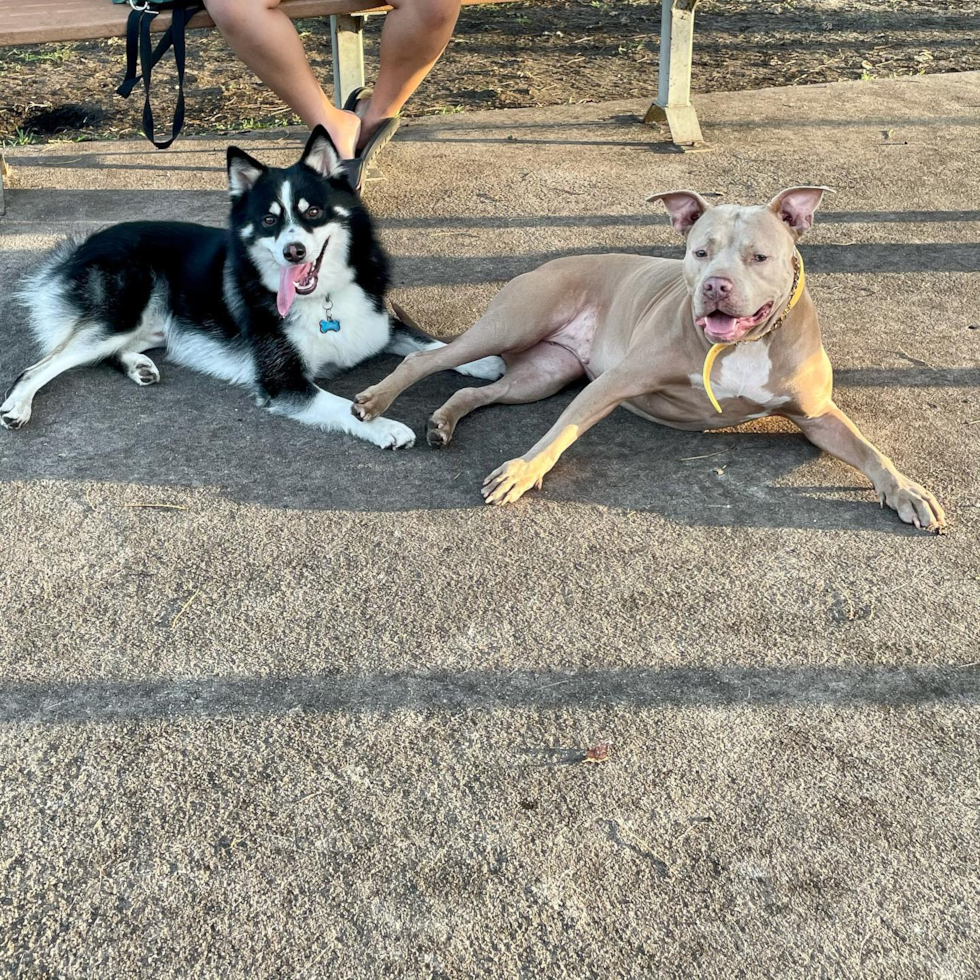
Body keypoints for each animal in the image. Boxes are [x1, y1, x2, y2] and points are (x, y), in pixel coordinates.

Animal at [0, 124, 502, 446]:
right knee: (40, 365)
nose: (294, 252)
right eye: (269, 220)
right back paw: (18, 407)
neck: (324, 300)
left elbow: (428, 345)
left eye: (313, 211)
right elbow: (345, 405)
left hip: (153, 322)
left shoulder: (379, 321)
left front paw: (482, 360)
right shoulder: (284, 382)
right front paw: (387, 427)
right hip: (124, 309)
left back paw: (139, 365)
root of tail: (83, 243)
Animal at [352, 187, 940, 532]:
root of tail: (547, 263)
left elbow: (871, 452)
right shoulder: (612, 383)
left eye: (759, 257)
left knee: (475, 390)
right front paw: (521, 470)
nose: (715, 286)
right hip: (514, 323)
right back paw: (377, 401)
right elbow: (558, 435)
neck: (742, 343)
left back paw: (443, 423)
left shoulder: (817, 415)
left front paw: (906, 490)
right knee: (427, 361)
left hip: (543, 374)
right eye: (700, 251)